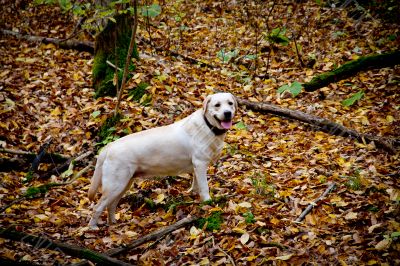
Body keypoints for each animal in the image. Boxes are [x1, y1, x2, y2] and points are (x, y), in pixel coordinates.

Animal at [88, 92, 238, 228]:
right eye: (217, 105)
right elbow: (204, 187)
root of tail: (108, 147)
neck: (208, 126)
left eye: (230, 103)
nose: (227, 113)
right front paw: (208, 203)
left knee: (111, 205)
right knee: (97, 207)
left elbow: (196, 185)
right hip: (115, 184)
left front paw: (195, 195)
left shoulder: (197, 167)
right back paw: (92, 227)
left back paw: (113, 223)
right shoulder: (200, 164)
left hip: (124, 184)